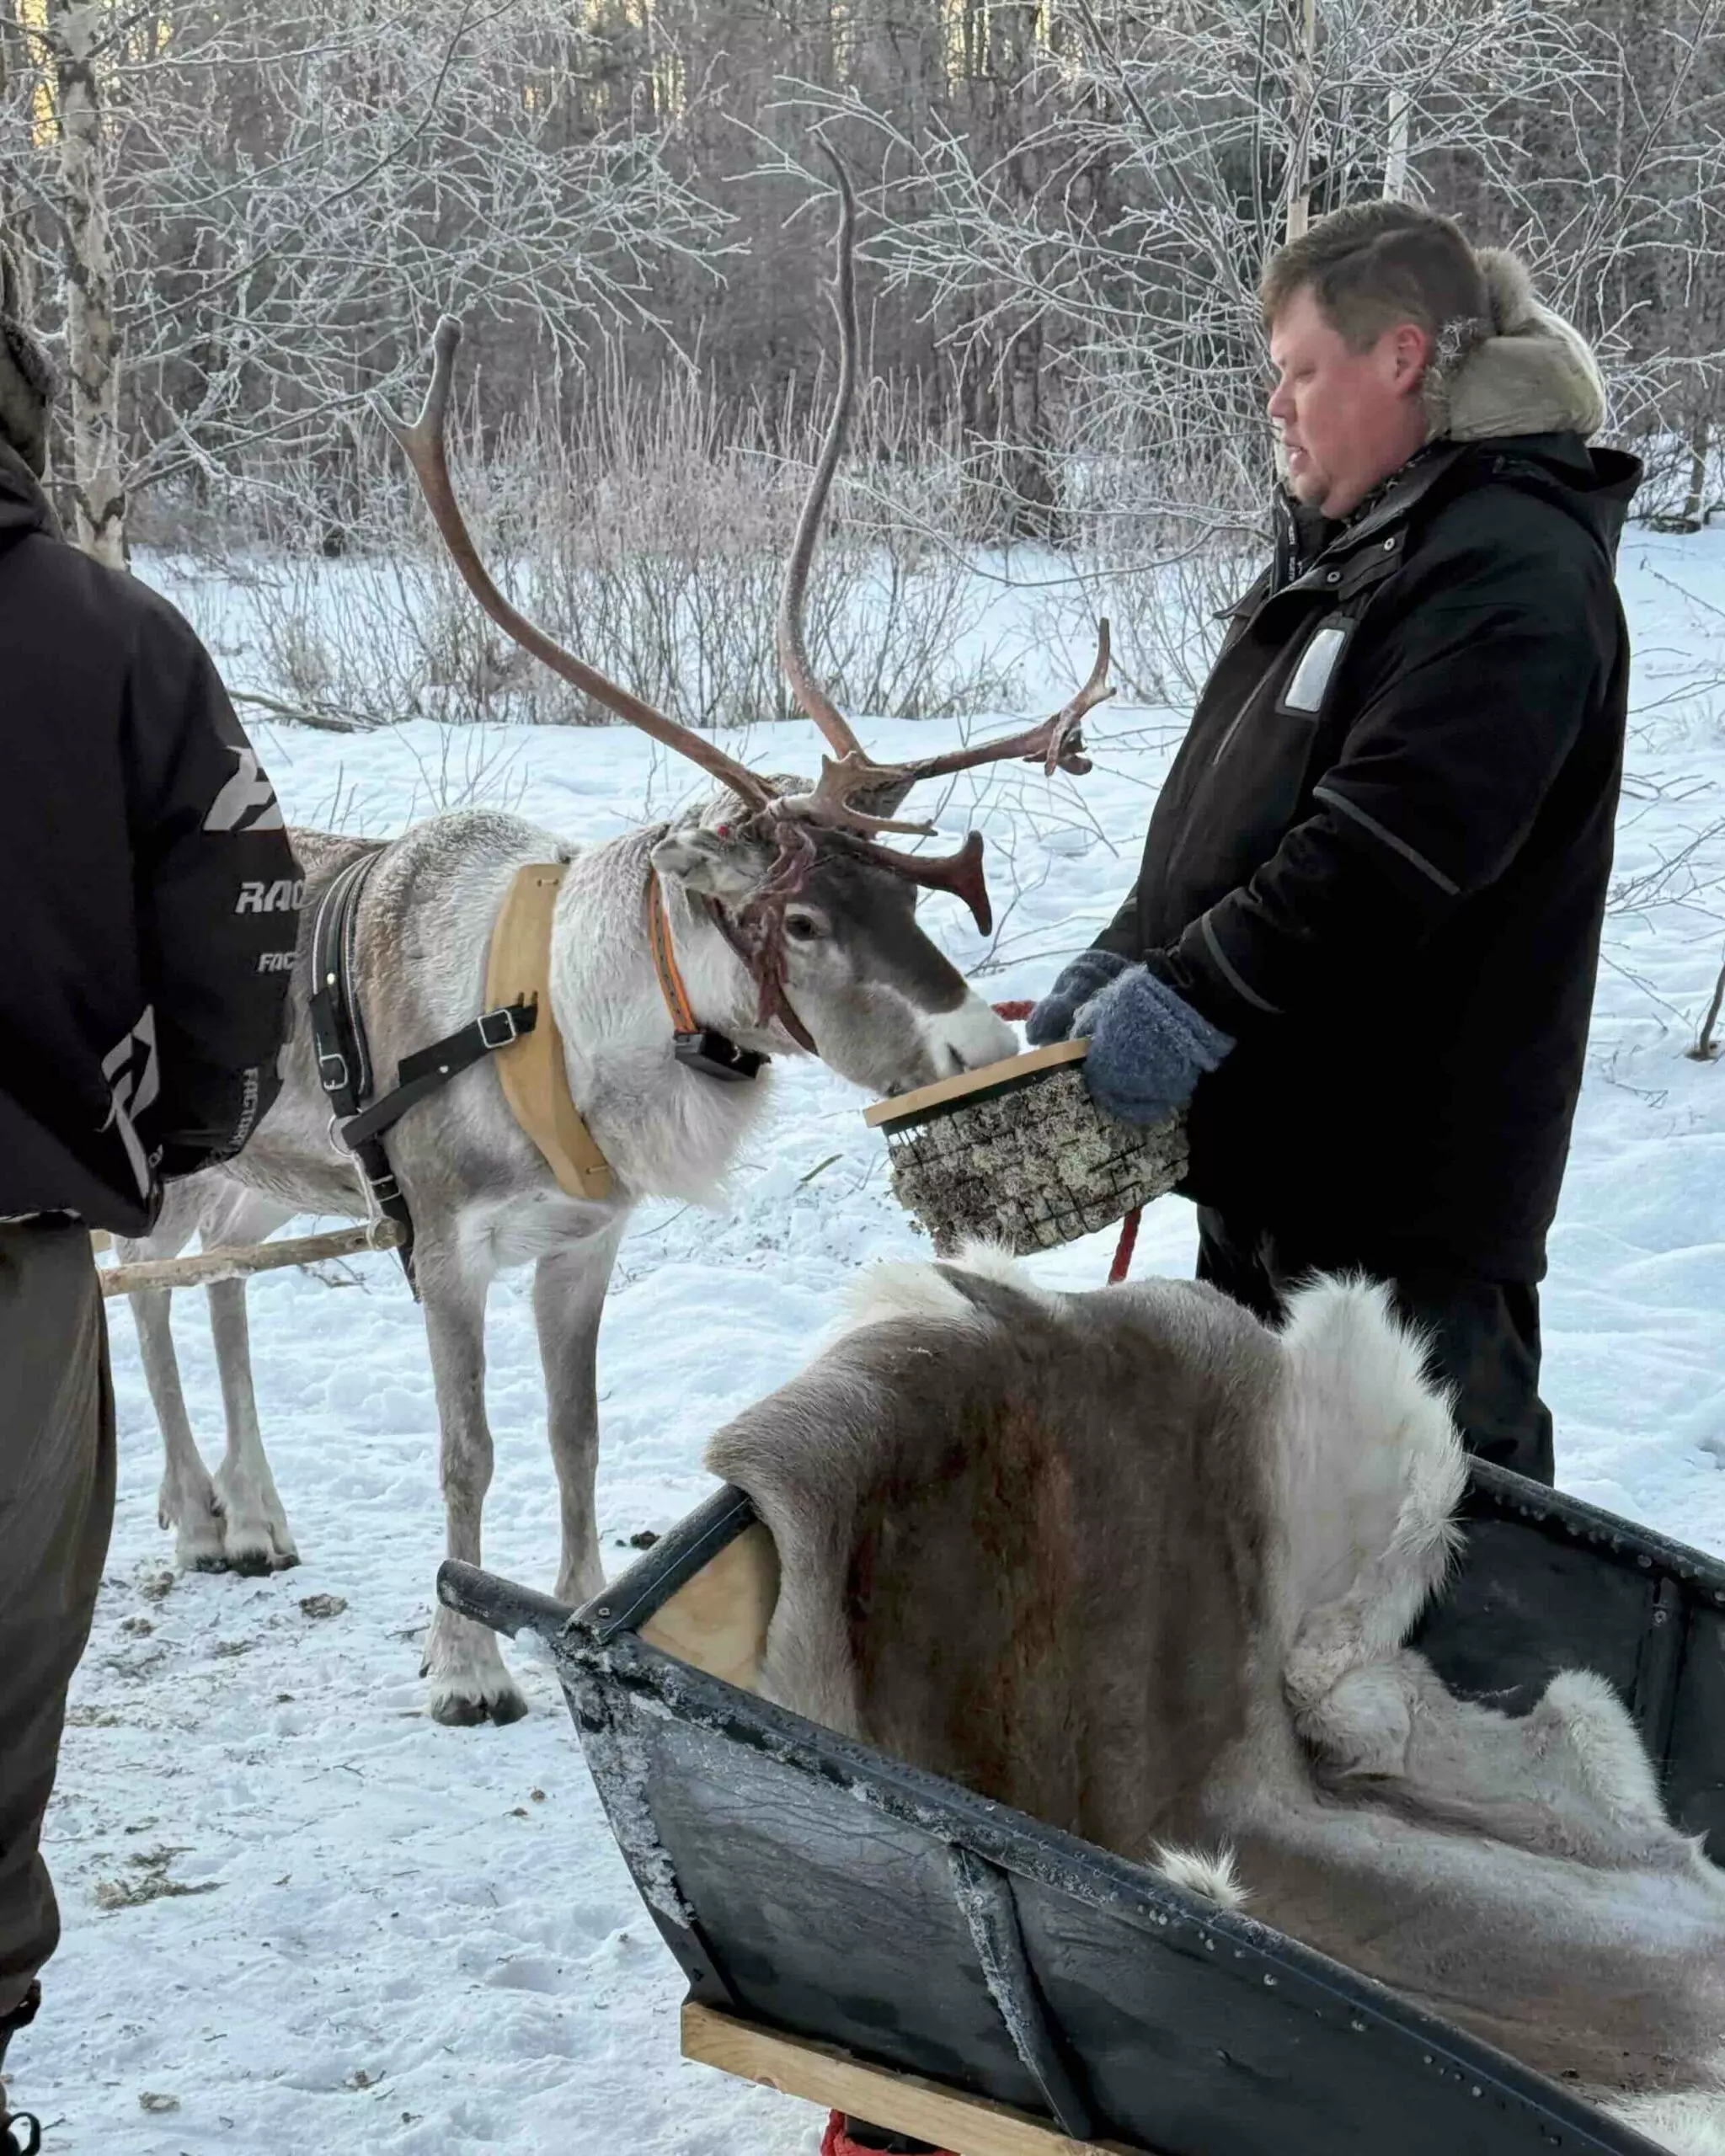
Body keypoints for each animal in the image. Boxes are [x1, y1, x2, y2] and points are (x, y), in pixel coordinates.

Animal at [116, 157, 1112, 1726]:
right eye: (804, 916)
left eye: (905, 892)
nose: (968, 1037)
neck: (568, 1034)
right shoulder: (444, 1243)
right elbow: (469, 1451)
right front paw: (465, 1668)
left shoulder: (585, 1243)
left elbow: (574, 1436)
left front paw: (583, 1613)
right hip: (176, 1158)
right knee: (145, 1290)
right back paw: (198, 1515)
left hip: (265, 1178)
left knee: (211, 1276)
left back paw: (256, 1514)